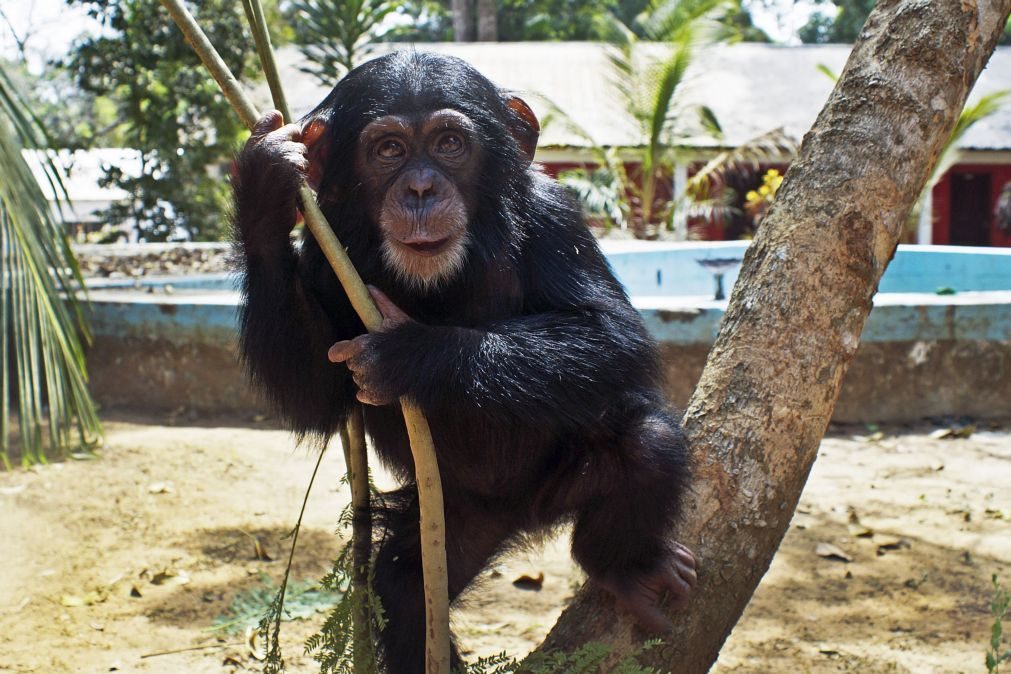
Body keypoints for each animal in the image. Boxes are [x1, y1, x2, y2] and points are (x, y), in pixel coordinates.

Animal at [234, 52, 695, 674]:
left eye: (450, 143)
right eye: (388, 150)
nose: (421, 186)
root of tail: (525, 515)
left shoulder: (554, 216)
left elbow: (608, 333)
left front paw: (404, 353)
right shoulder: (324, 251)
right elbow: (316, 396)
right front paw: (264, 188)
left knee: (647, 445)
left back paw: (627, 570)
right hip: (455, 516)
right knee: (406, 589)